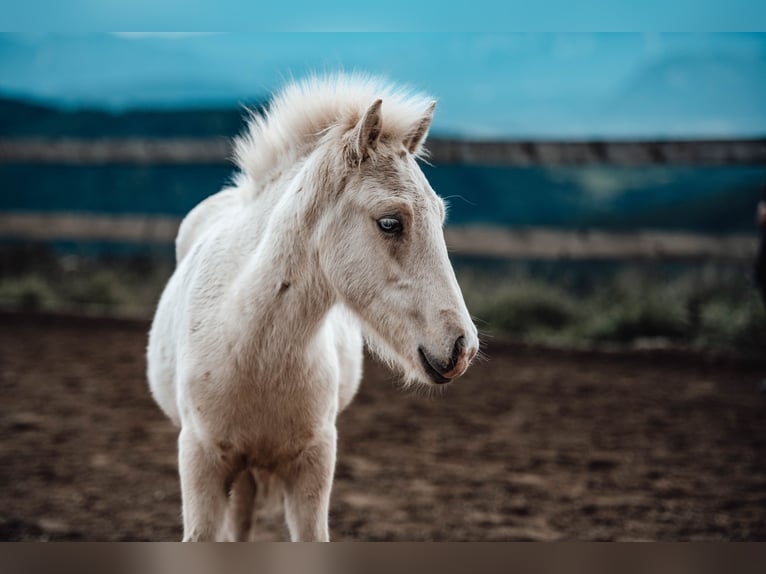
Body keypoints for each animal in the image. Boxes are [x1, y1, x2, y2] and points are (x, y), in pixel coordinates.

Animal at [146, 74, 479, 541]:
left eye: (440, 215)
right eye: (390, 222)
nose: (462, 347)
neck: (251, 347)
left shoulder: (313, 465)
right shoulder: (201, 461)